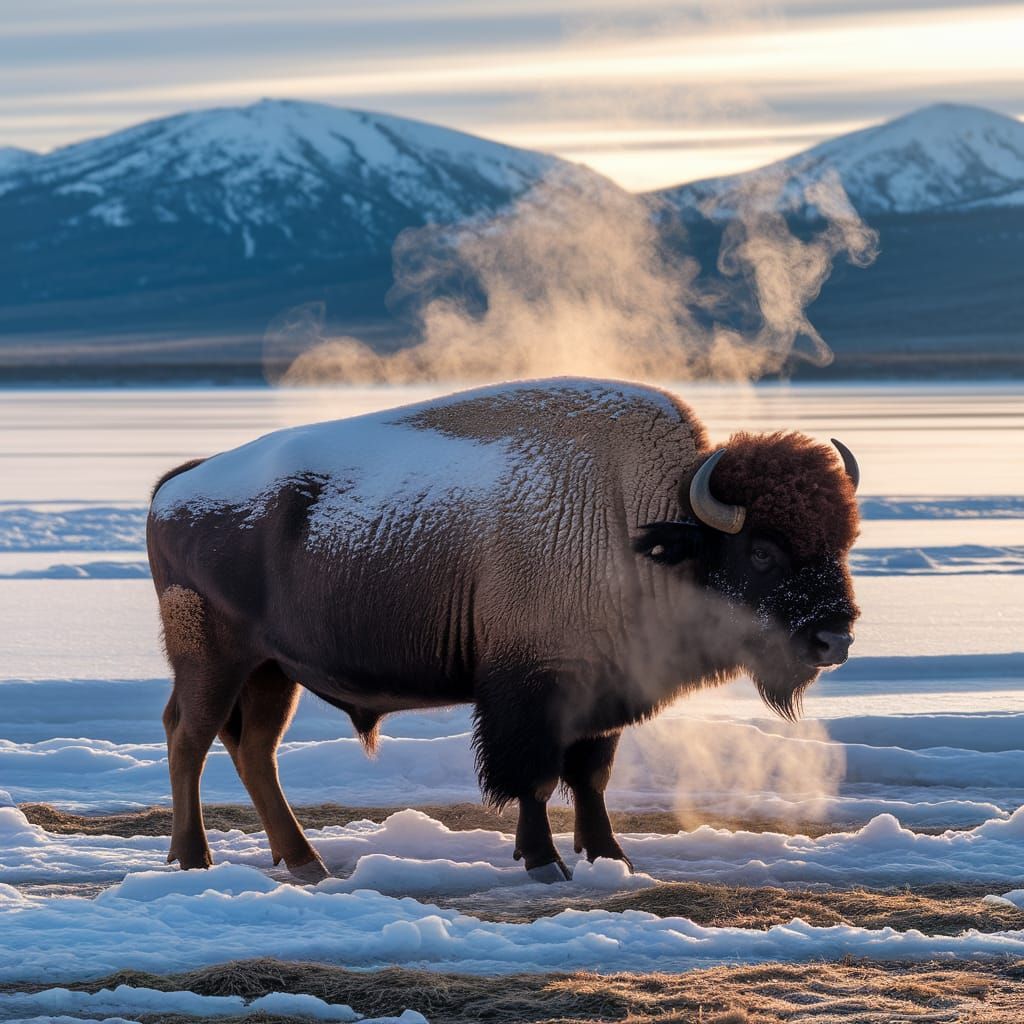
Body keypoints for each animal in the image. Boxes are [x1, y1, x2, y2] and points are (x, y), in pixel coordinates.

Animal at [148, 377, 860, 882]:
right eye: (762, 552)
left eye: (843, 541)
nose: (836, 638)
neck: (641, 524)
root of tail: (176, 485)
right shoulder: (529, 692)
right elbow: (535, 779)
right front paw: (545, 863)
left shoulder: (601, 694)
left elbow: (590, 778)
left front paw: (611, 858)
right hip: (214, 658)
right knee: (190, 738)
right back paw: (193, 858)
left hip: (272, 672)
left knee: (253, 751)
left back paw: (304, 862)